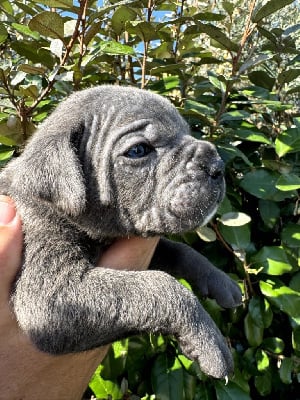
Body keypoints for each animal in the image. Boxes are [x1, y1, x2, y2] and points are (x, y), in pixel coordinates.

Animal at [0, 86, 241, 380]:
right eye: (138, 150)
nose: (218, 165)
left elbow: (180, 251)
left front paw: (220, 280)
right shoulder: (49, 295)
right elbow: (158, 285)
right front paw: (208, 339)